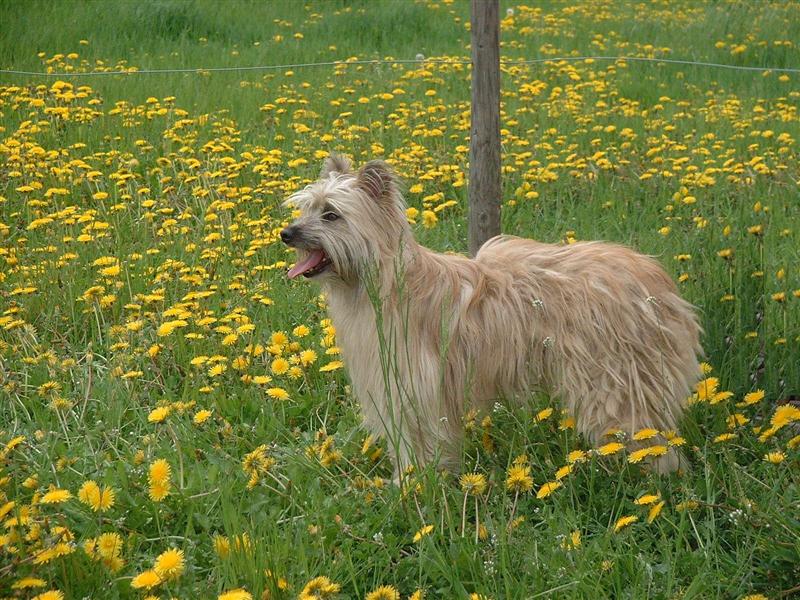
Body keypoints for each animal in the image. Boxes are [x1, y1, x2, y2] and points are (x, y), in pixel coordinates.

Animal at [284, 157, 704, 476]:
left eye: (332, 214)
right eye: (306, 209)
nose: (287, 233)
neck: (385, 283)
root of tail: (654, 279)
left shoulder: (415, 391)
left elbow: (418, 445)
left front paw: (414, 487)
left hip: (617, 383)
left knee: (650, 439)